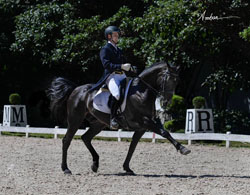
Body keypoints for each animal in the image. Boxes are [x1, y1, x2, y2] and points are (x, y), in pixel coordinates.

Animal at [47, 61, 190, 174]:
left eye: (176, 81)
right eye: (167, 79)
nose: (166, 102)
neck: (142, 92)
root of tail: (75, 89)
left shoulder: (143, 126)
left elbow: (133, 146)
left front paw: (127, 168)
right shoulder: (145, 122)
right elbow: (164, 132)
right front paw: (183, 149)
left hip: (99, 123)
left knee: (86, 137)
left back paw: (95, 164)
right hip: (75, 120)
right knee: (67, 140)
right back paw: (66, 169)